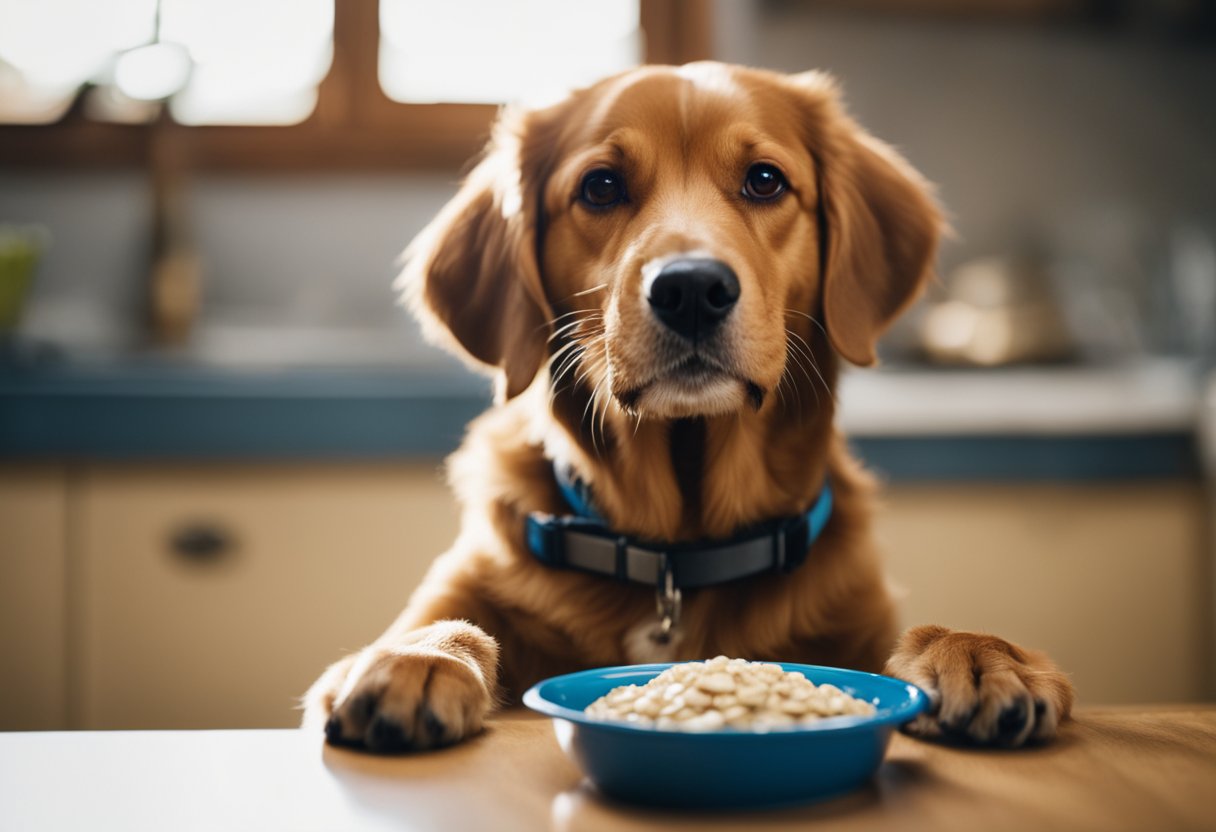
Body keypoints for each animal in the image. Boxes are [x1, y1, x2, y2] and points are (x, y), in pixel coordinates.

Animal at [306, 63, 1074, 754]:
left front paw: (983, 656)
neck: (678, 554)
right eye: (601, 186)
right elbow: (447, 623)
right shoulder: (453, 593)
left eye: (765, 180)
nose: (691, 290)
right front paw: (419, 658)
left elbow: (921, 633)